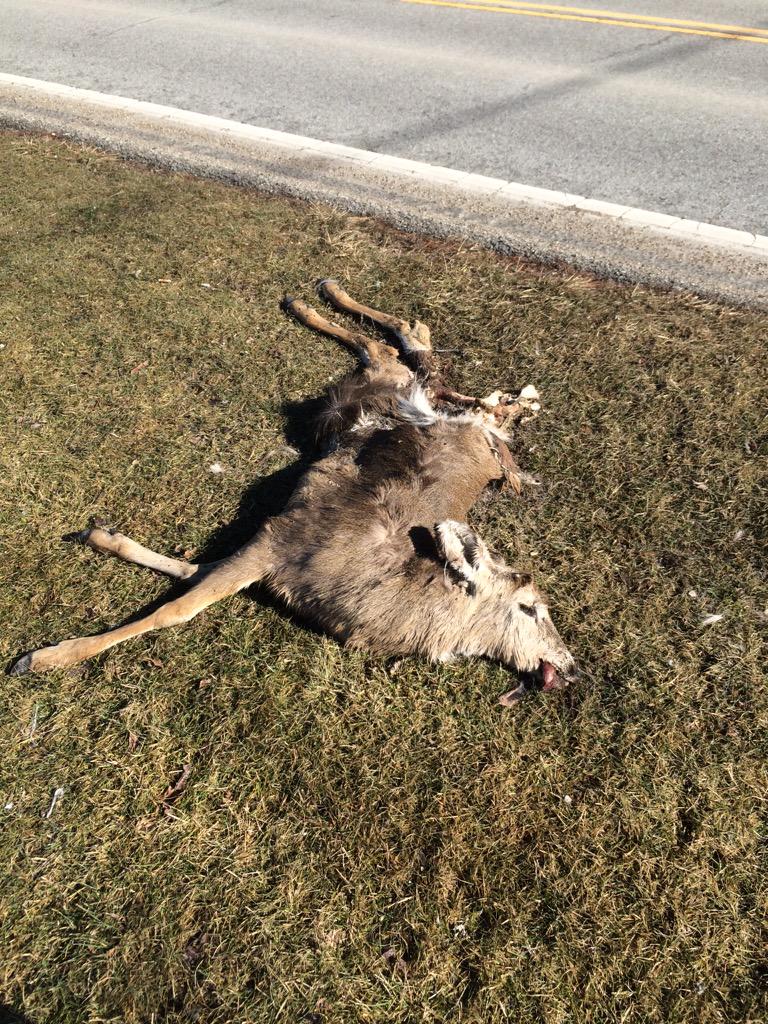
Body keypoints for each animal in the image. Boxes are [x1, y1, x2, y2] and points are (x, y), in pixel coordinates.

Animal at [9, 281, 578, 705]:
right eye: (531, 608)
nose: (570, 666)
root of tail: (490, 427)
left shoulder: (273, 554)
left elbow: (190, 576)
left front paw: (98, 537)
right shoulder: (281, 538)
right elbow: (179, 609)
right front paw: (40, 657)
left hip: (396, 389)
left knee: (394, 346)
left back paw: (316, 298)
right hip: (401, 388)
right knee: (396, 344)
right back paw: (313, 295)